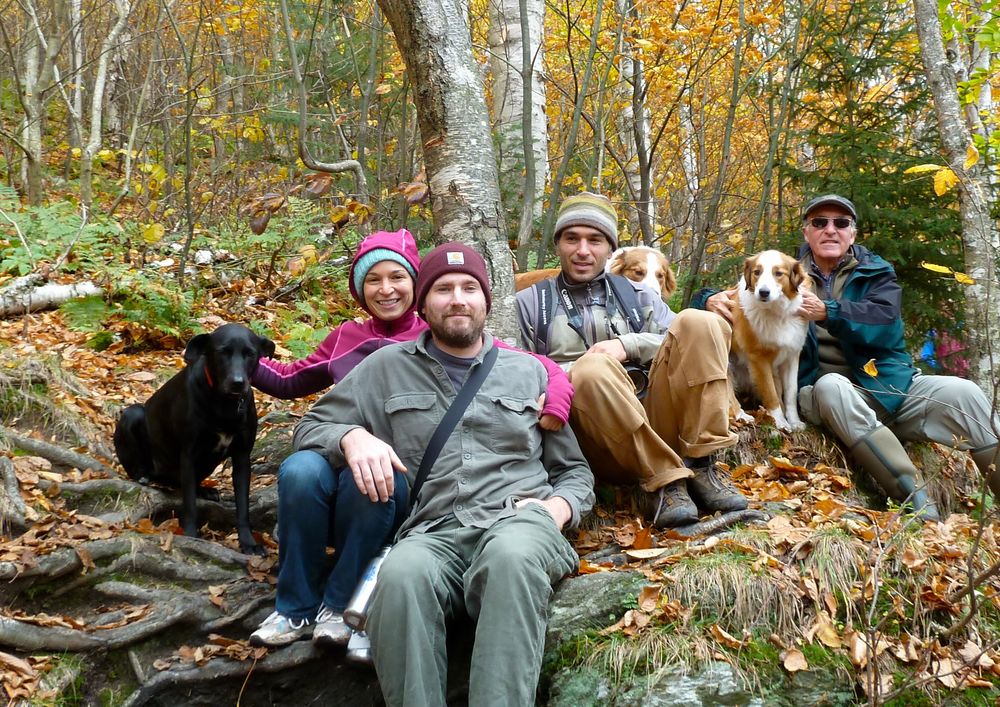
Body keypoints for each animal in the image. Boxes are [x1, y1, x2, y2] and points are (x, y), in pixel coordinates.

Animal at [114, 323, 275, 554]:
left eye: (250, 354)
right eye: (223, 352)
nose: (237, 383)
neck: (224, 404)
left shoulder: (242, 457)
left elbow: (243, 507)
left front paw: (248, 542)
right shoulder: (188, 454)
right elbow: (189, 504)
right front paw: (190, 535)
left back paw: (204, 490)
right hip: (133, 414)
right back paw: (144, 475)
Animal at [729, 250, 810, 431]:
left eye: (778, 273)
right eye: (757, 272)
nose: (763, 292)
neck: (777, 312)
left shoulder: (791, 357)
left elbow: (791, 392)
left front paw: (794, 421)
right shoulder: (759, 359)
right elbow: (771, 394)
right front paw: (780, 422)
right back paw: (742, 416)